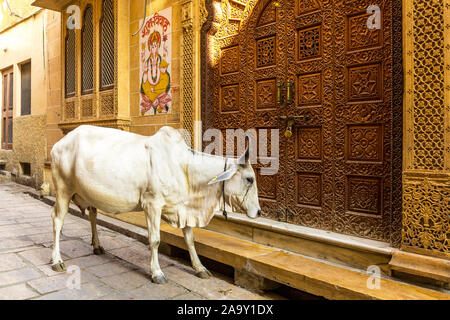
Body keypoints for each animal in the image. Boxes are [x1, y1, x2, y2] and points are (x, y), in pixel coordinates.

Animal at [49, 125, 260, 282]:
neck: (184, 168)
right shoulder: (152, 204)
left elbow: (190, 239)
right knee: (57, 220)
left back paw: (97, 246)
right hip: (63, 189)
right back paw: (56, 260)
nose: (258, 212)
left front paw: (200, 268)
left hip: (88, 192)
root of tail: (59, 143)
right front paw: (157, 273)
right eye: (249, 179)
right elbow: (155, 239)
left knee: (92, 214)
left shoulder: (182, 208)